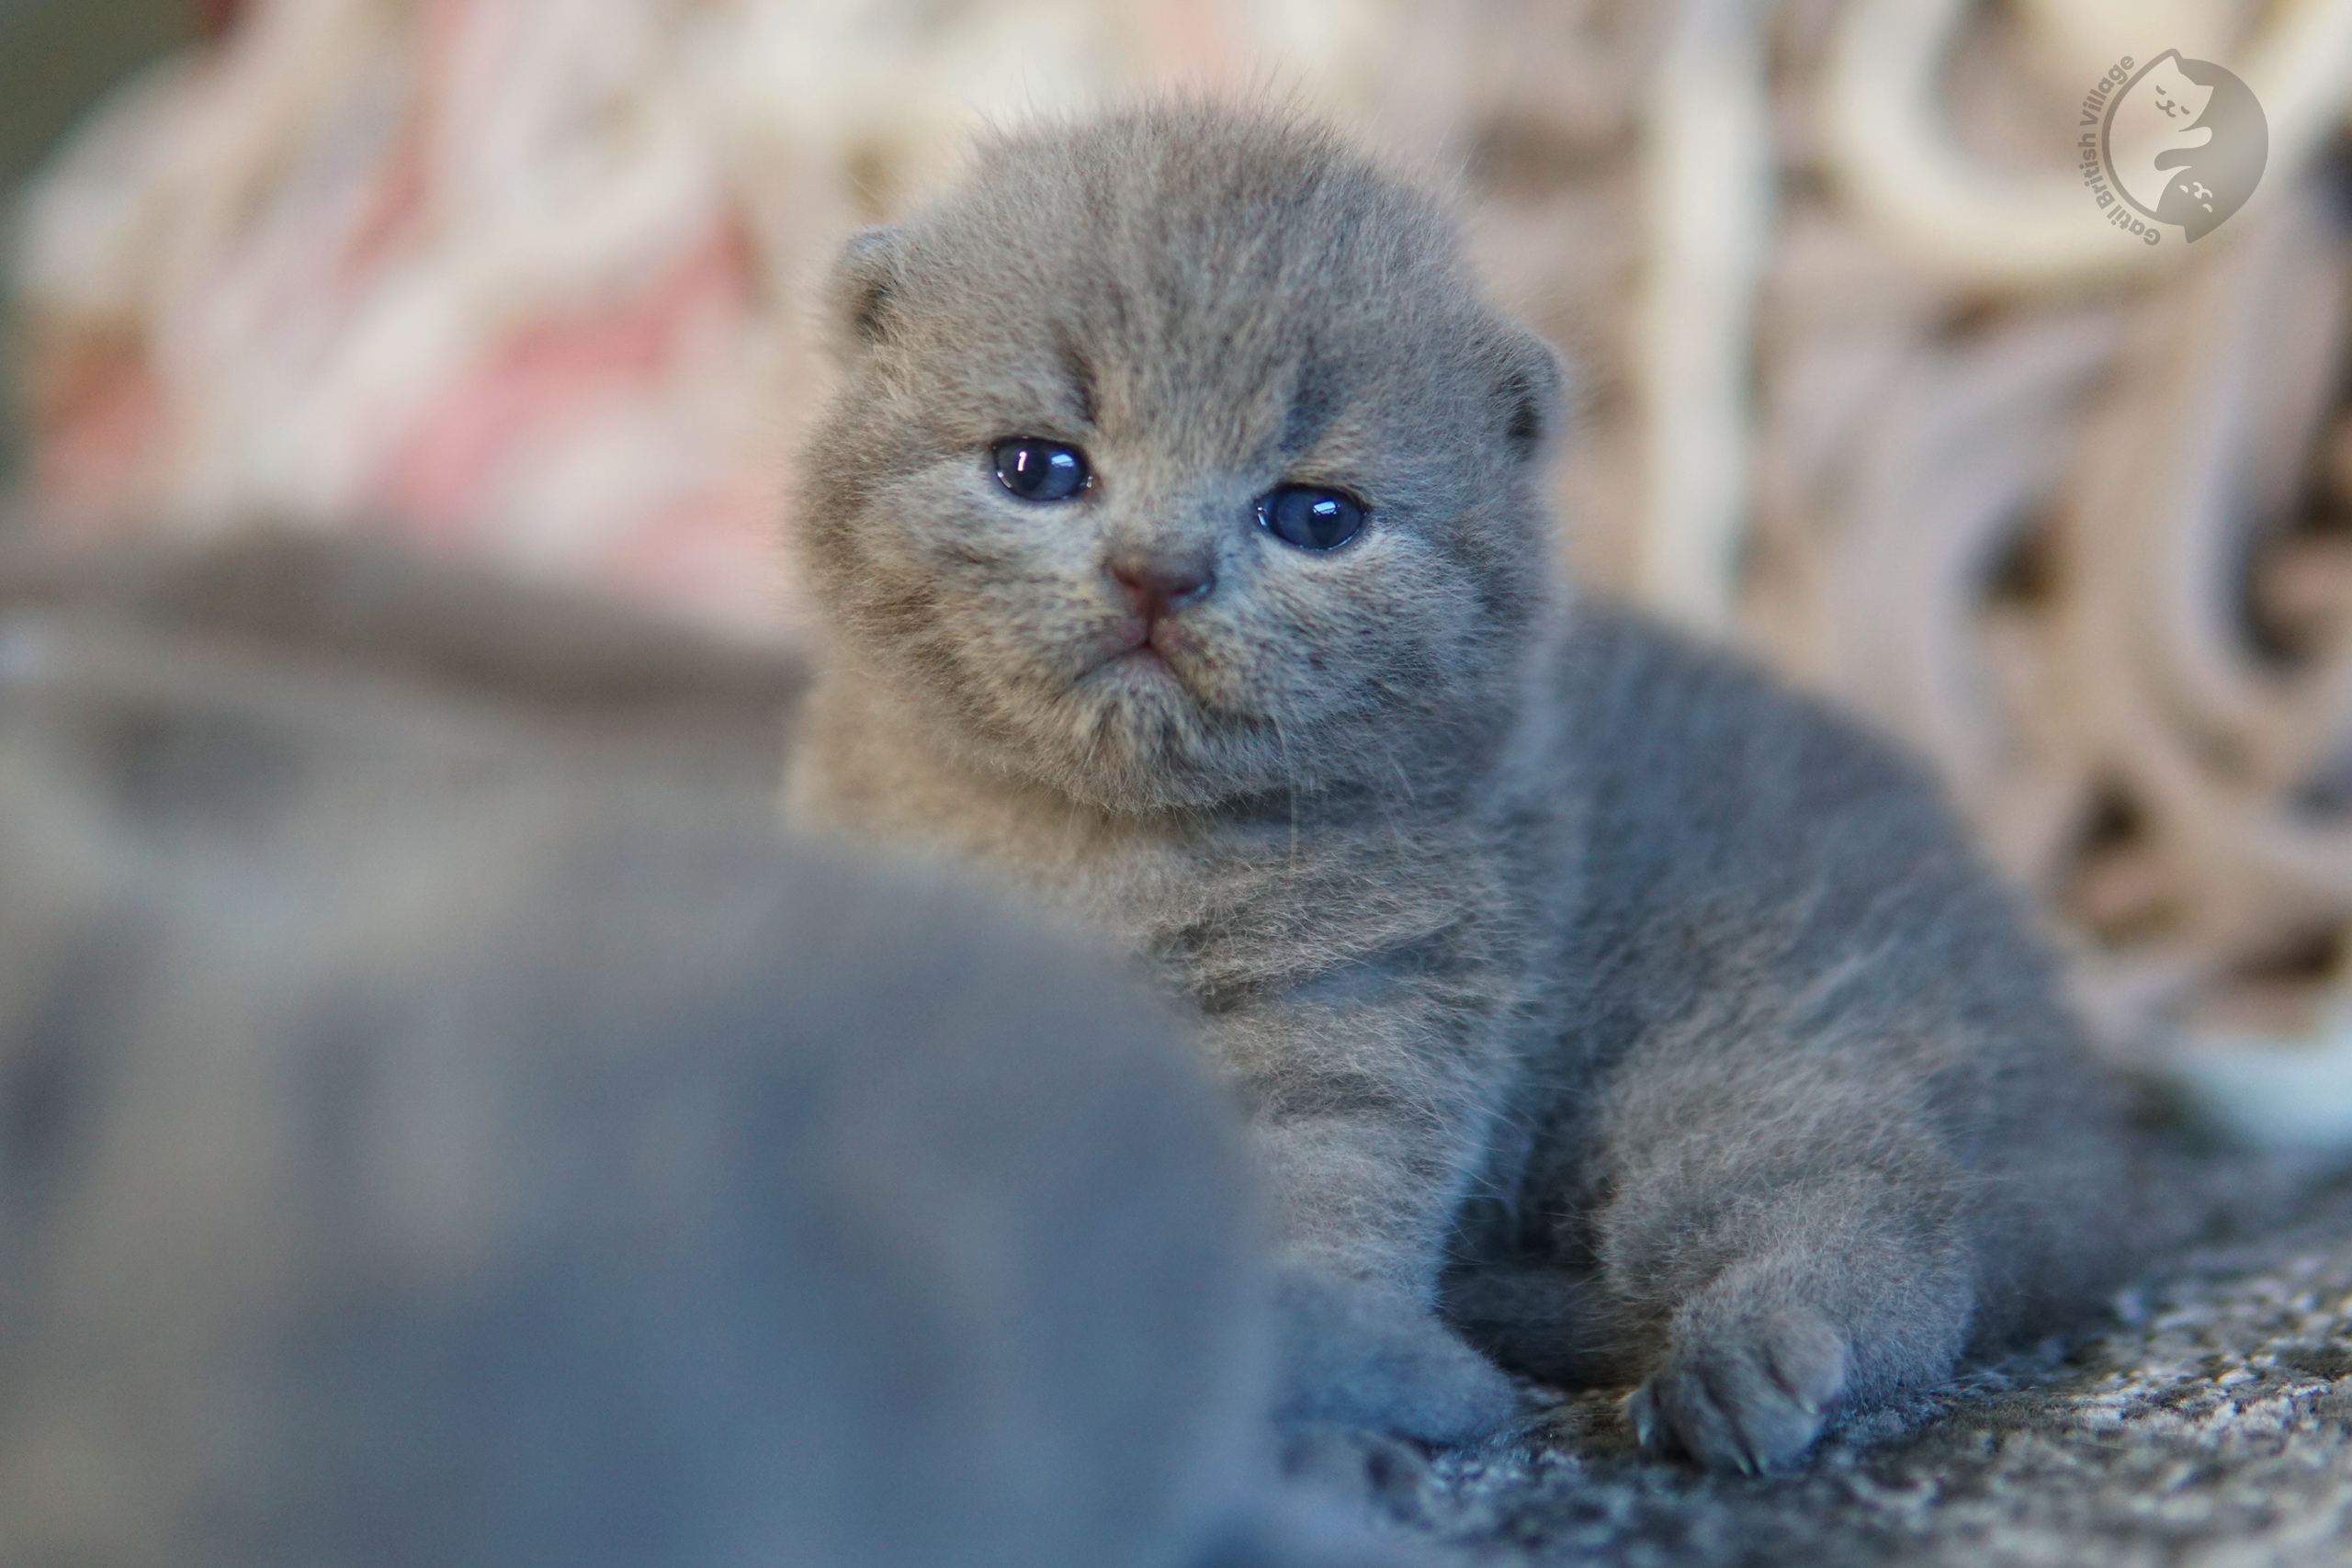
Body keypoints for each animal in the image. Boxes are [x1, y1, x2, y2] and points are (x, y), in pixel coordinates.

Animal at [790, 101, 2201, 1476]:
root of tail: (2076, 1113)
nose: (1160, 571)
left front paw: (1334, 1411)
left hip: (1769, 1058)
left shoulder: (1362, 1012)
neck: (1111, 845)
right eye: (1037, 467)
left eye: (1314, 516)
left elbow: (1311, 1231)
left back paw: (1743, 1367)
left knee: (1885, 1234)